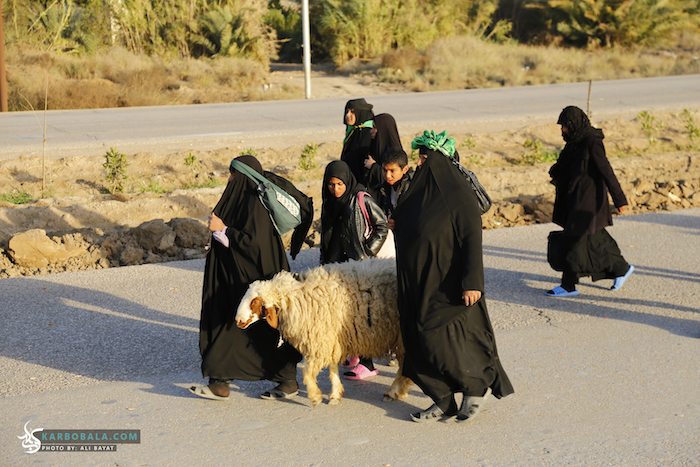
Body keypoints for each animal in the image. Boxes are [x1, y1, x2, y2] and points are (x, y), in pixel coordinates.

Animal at [237, 258, 410, 408]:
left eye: (255, 302)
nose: (237, 320)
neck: (301, 299)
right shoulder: (330, 337)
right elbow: (332, 367)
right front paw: (335, 395)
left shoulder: (322, 338)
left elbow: (308, 372)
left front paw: (315, 397)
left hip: (402, 338)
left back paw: (393, 391)